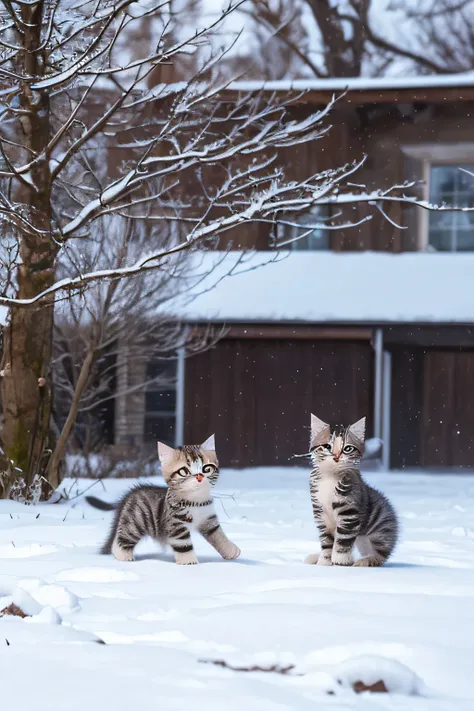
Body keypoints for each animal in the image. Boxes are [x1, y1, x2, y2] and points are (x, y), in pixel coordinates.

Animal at [84, 434, 241, 568]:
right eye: (184, 471)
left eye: (206, 469)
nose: (199, 477)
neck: (196, 501)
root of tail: (132, 493)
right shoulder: (175, 523)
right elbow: (183, 543)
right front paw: (189, 563)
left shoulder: (209, 519)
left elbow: (218, 534)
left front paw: (231, 551)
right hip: (136, 522)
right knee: (121, 539)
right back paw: (124, 557)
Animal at [304, 414, 396, 572]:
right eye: (327, 446)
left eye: (347, 448)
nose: (336, 456)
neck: (330, 475)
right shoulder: (320, 511)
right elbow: (326, 541)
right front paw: (324, 562)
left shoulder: (349, 511)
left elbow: (343, 540)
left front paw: (340, 561)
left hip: (380, 528)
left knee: (380, 555)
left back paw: (364, 561)